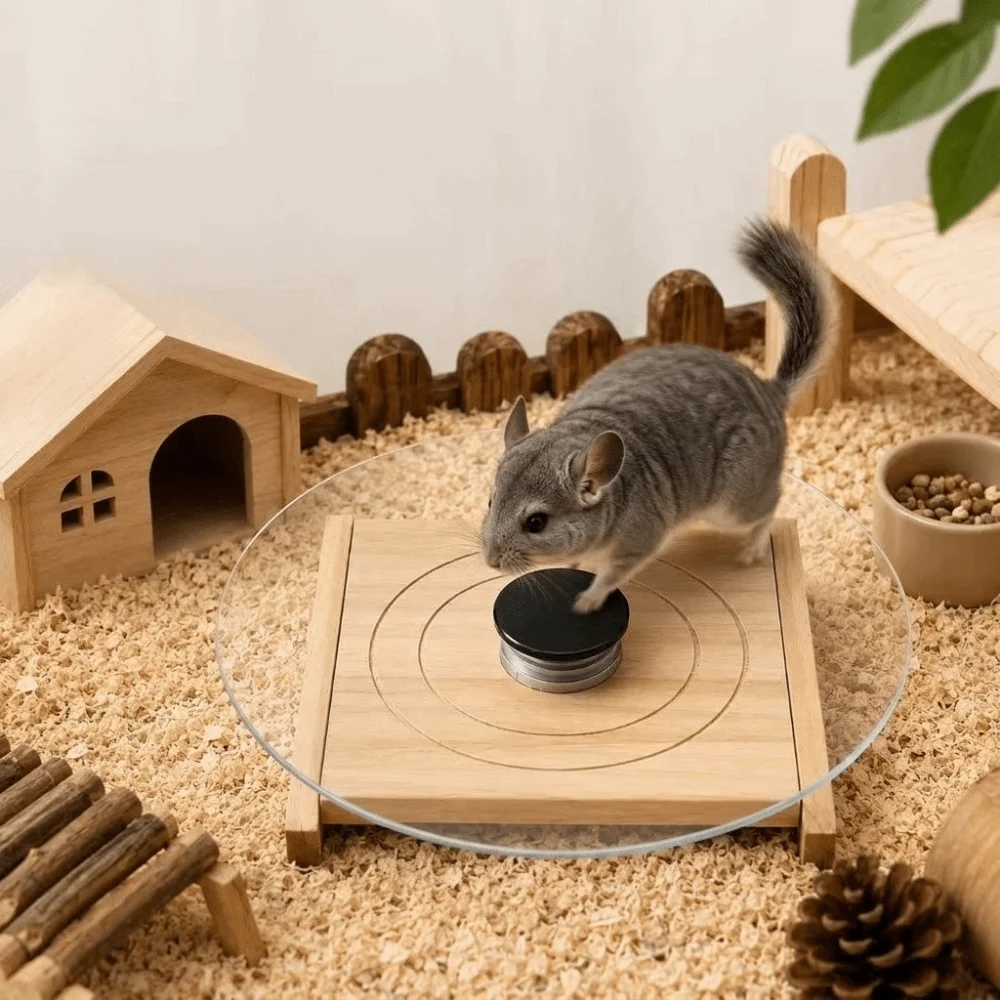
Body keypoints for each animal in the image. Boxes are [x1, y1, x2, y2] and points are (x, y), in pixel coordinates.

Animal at [480, 217, 832, 613]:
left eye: (536, 522)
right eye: (491, 501)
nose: (490, 561)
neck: (611, 499)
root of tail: (770, 391)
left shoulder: (639, 541)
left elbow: (611, 577)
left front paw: (584, 603)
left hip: (732, 505)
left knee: (772, 504)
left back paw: (750, 552)